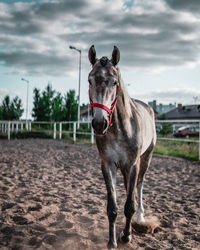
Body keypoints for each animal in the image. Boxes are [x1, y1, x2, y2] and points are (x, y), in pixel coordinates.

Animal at [87, 45, 156, 250]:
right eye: (90, 80)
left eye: (115, 82)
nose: (99, 123)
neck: (120, 129)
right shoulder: (108, 165)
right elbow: (113, 207)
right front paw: (112, 241)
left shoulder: (132, 165)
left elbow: (129, 205)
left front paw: (127, 235)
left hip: (145, 159)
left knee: (138, 187)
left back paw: (140, 217)